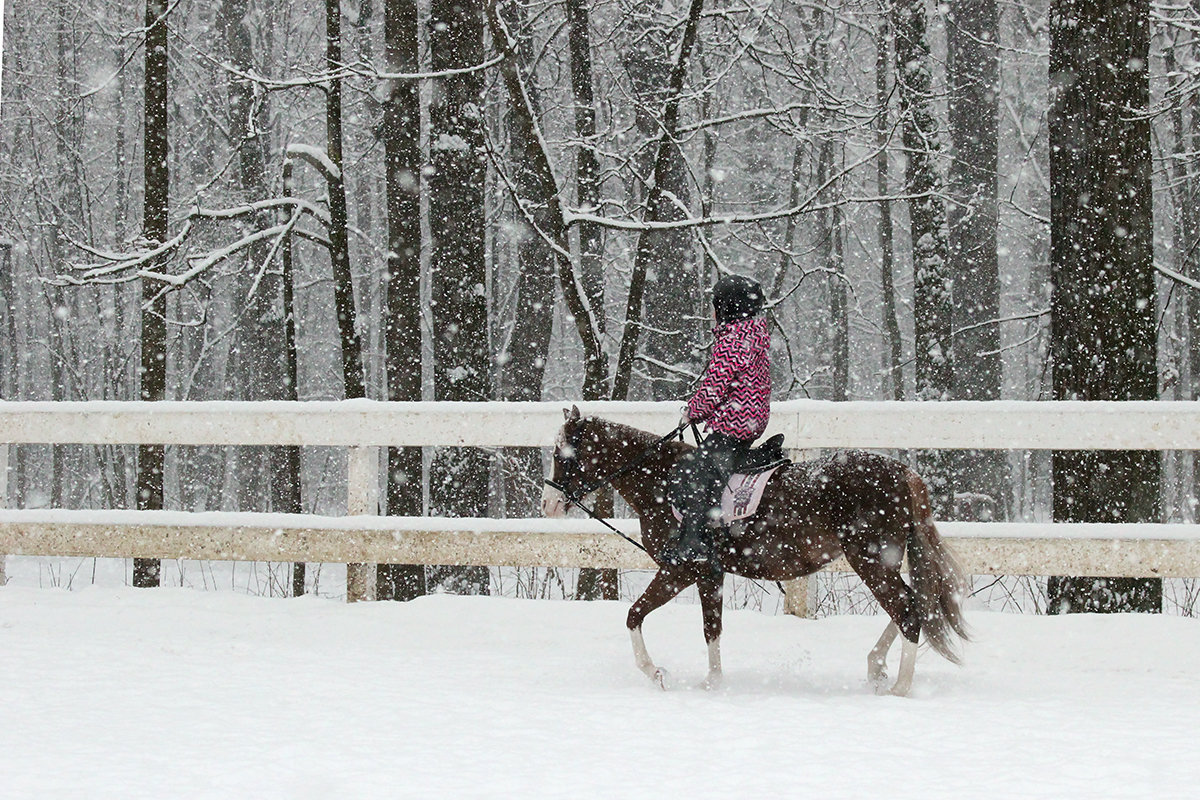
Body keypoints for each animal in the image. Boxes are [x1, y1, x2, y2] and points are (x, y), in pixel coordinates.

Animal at [540, 407, 969, 695]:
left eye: (563, 455)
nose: (548, 503)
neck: (662, 481)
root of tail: (902, 473)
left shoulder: (681, 569)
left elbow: (633, 615)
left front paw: (657, 673)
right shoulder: (708, 573)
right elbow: (711, 627)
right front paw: (712, 682)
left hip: (872, 559)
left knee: (908, 609)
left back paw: (898, 686)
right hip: (879, 561)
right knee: (916, 604)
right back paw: (877, 667)